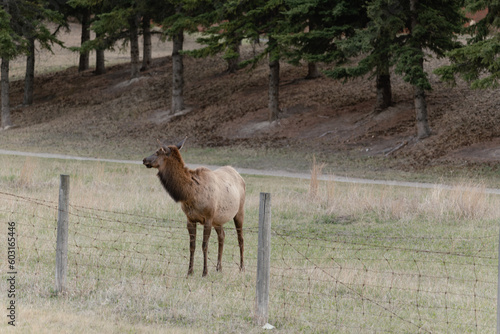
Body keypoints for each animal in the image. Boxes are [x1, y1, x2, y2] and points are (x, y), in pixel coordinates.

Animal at [143, 138, 246, 276]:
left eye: (158, 151)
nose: (144, 159)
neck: (190, 193)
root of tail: (239, 175)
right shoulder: (190, 219)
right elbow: (192, 246)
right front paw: (190, 271)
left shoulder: (208, 218)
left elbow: (204, 245)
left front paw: (204, 272)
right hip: (218, 219)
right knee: (222, 236)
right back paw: (219, 268)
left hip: (239, 211)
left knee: (240, 238)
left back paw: (241, 267)